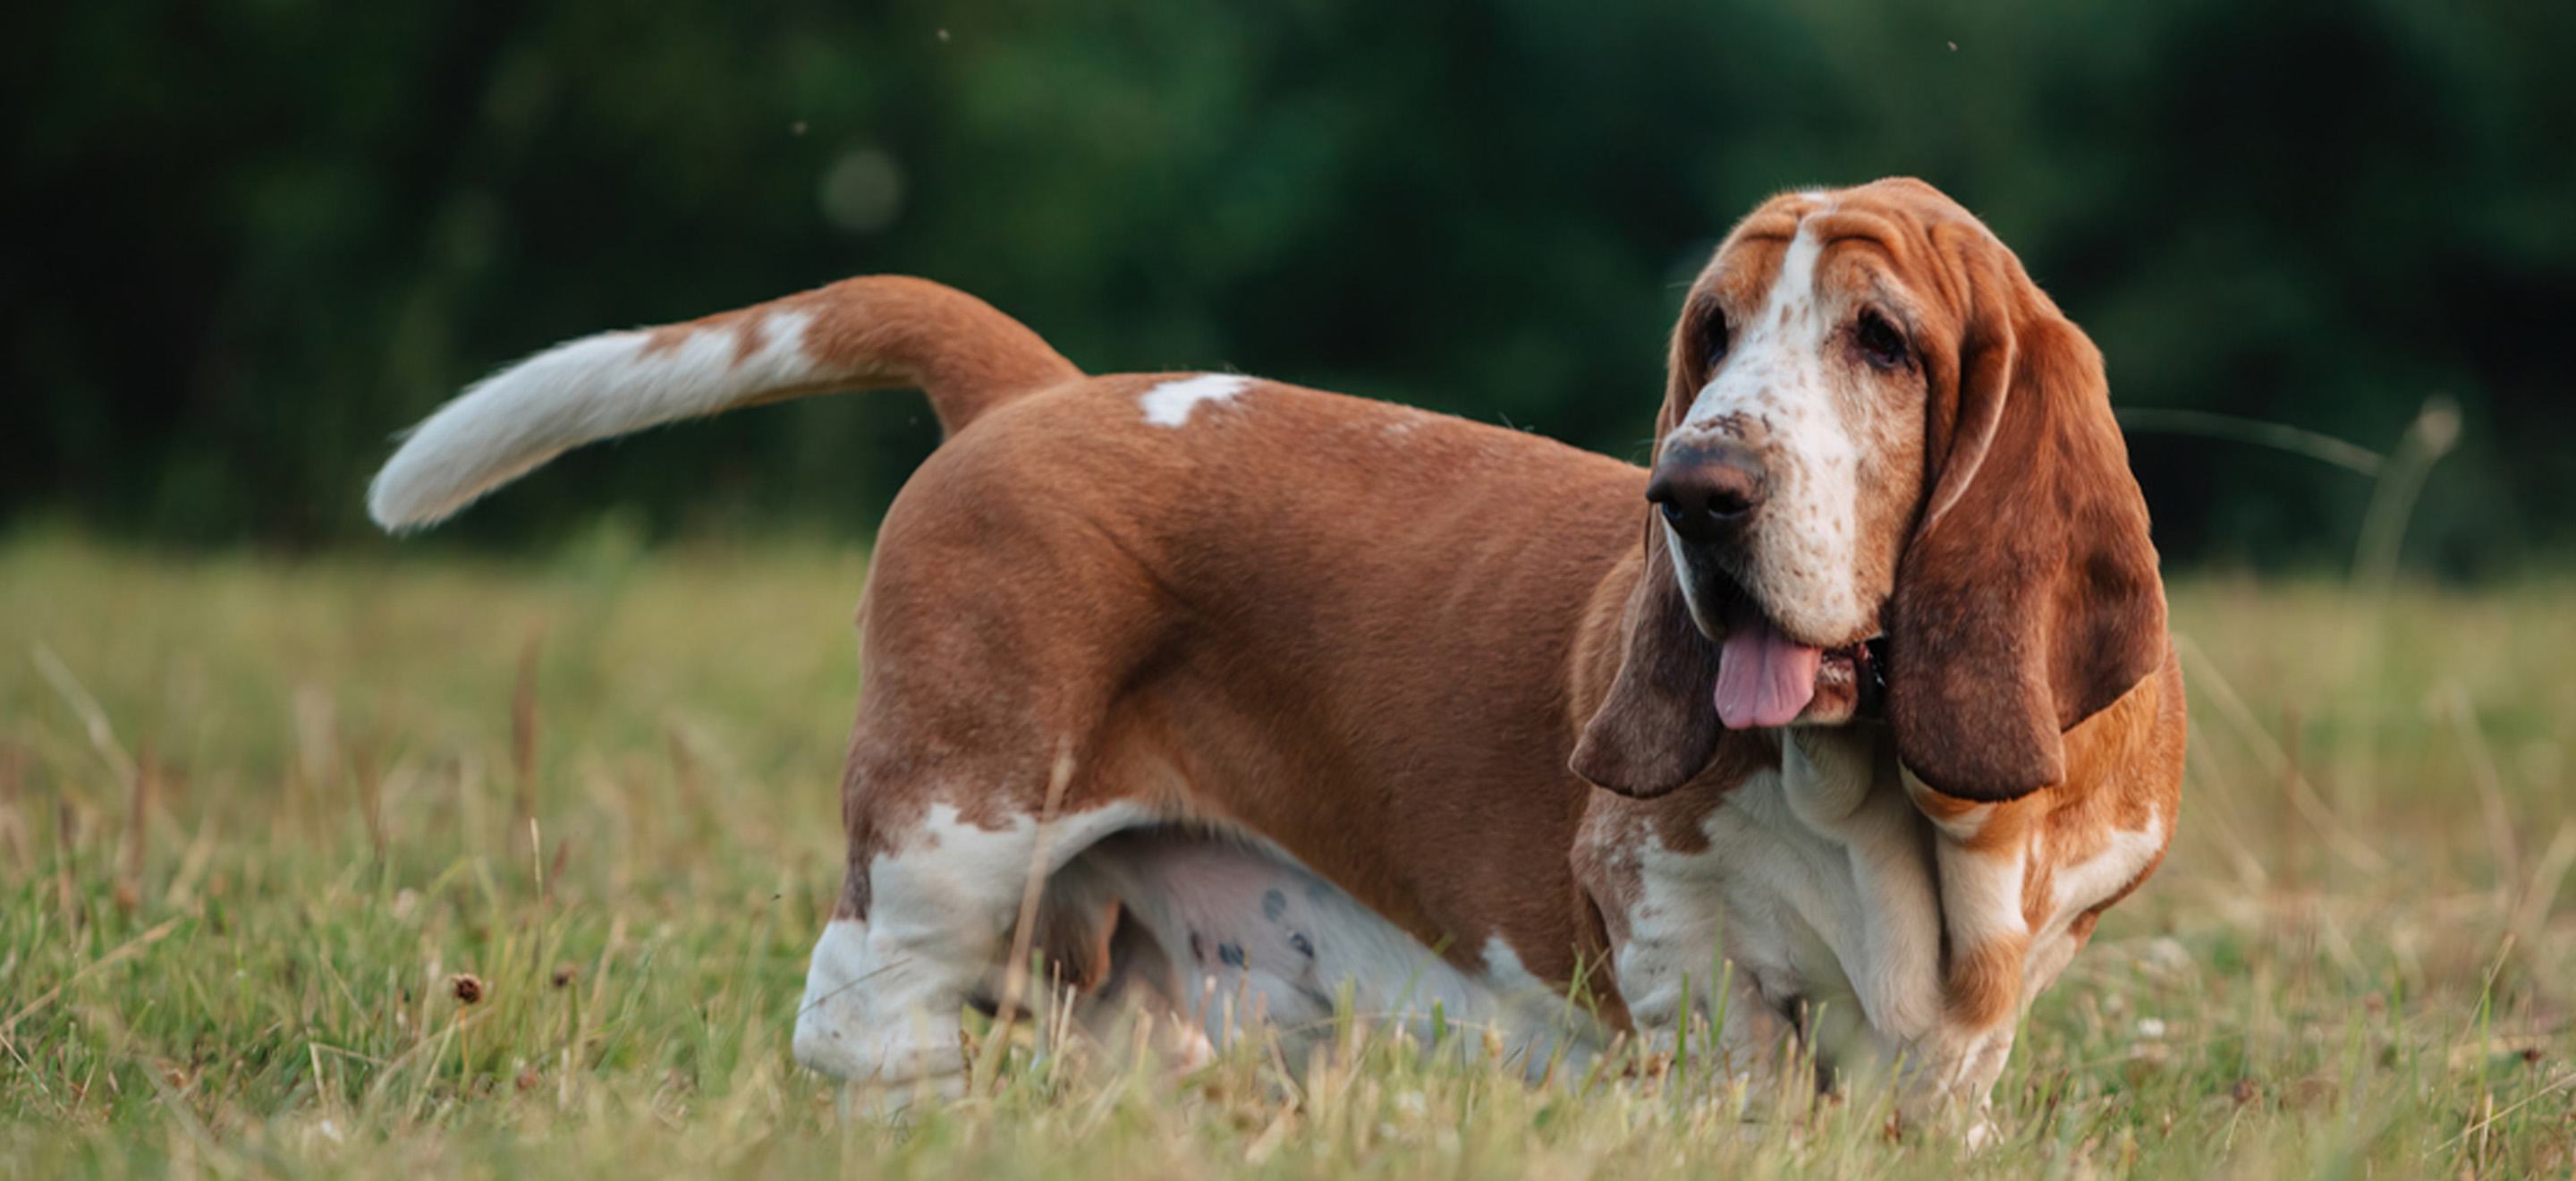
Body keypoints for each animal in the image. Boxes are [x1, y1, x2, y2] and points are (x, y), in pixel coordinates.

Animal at [363, 173, 2174, 1109]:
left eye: (1884, 342)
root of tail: (1034, 391)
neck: (1894, 803)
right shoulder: (1668, 928)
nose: (1697, 488)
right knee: (854, 1007)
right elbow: (1726, 1032)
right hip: (957, 829)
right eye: (1712, 335)